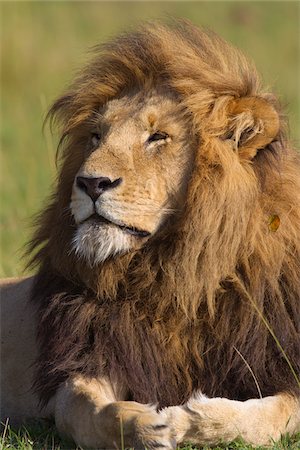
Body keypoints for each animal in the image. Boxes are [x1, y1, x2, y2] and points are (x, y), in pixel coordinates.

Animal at [0, 21, 300, 450]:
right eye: (96, 135)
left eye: (157, 137)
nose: (90, 182)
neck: (179, 278)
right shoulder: (89, 360)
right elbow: (89, 411)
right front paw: (147, 423)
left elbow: (269, 417)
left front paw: (192, 418)